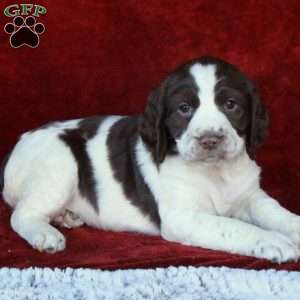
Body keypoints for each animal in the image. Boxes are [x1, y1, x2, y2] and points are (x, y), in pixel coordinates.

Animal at [0, 56, 300, 262]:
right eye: (184, 108)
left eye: (230, 105)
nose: (209, 140)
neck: (215, 172)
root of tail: (18, 143)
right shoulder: (183, 217)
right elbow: (234, 227)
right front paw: (275, 241)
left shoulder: (250, 197)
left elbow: (278, 213)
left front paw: (292, 229)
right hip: (61, 161)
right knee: (21, 213)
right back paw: (46, 233)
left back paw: (66, 216)